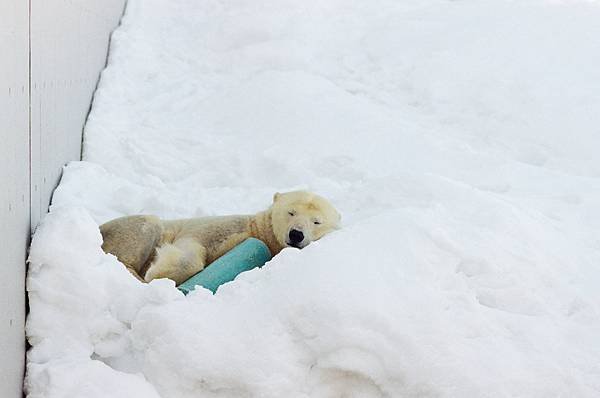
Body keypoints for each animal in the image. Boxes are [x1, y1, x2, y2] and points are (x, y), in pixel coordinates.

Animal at [101, 191, 340, 284]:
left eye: (316, 222)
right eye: (291, 212)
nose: (296, 234)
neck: (259, 231)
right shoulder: (223, 227)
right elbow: (192, 245)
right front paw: (157, 272)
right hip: (121, 230)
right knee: (148, 224)